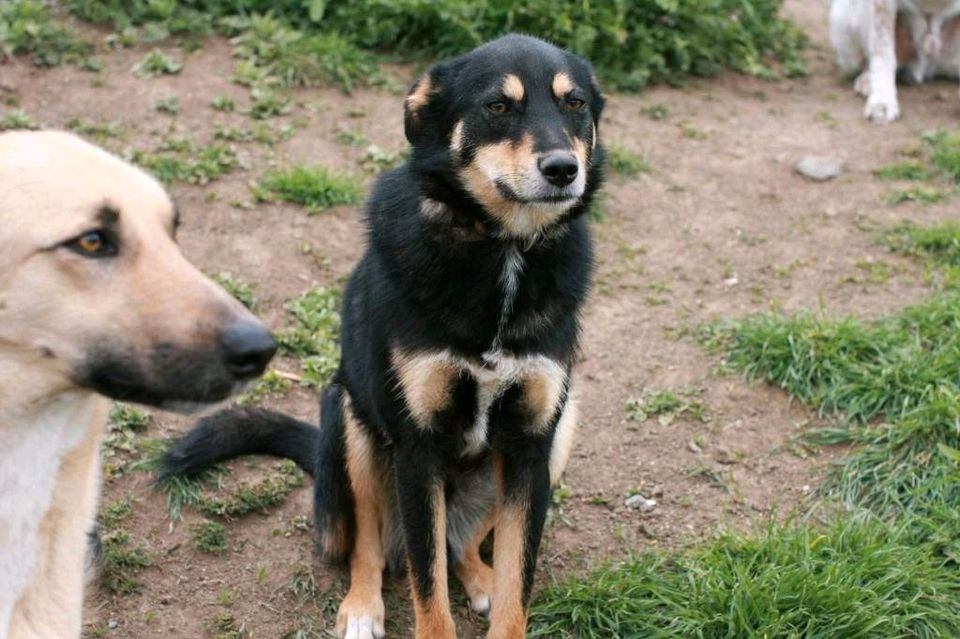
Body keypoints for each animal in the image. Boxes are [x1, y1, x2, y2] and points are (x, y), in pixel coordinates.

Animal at [160, 36, 604, 639]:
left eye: (575, 103)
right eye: (497, 106)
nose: (563, 169)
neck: (503, 249)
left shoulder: (531, 446)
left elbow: (517, 587)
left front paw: (501, 596)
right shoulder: (417, 448)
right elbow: (427, 588)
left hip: (562, 430)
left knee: (460, 546)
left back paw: (481, 577)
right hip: (351, 423)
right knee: (371, 547)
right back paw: (362, 607)